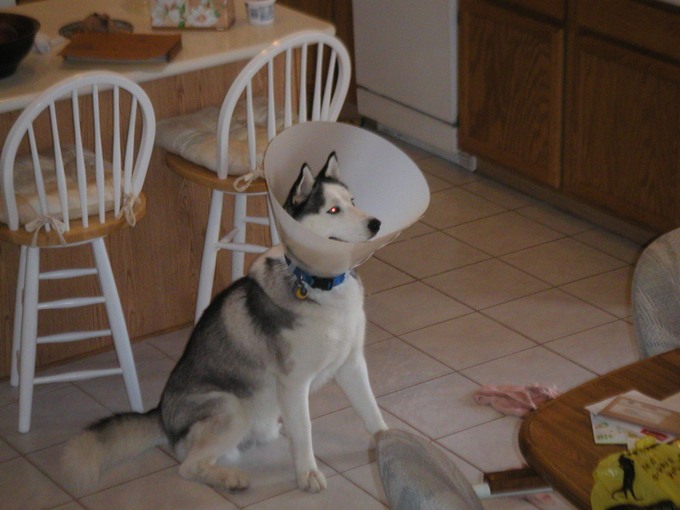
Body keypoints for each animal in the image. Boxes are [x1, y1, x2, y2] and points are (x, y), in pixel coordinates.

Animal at [63, 152, 388, 494]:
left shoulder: (351, 364)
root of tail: (162, 415)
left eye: (353, 201)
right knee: (189, 466)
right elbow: (305, 431)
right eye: (334, 210)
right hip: (233, 408)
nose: (376, 223)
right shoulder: (295, 382)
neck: (319, 285)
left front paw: (389, 442)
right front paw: (308, 473)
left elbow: (371, 410)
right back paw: (231, 479)